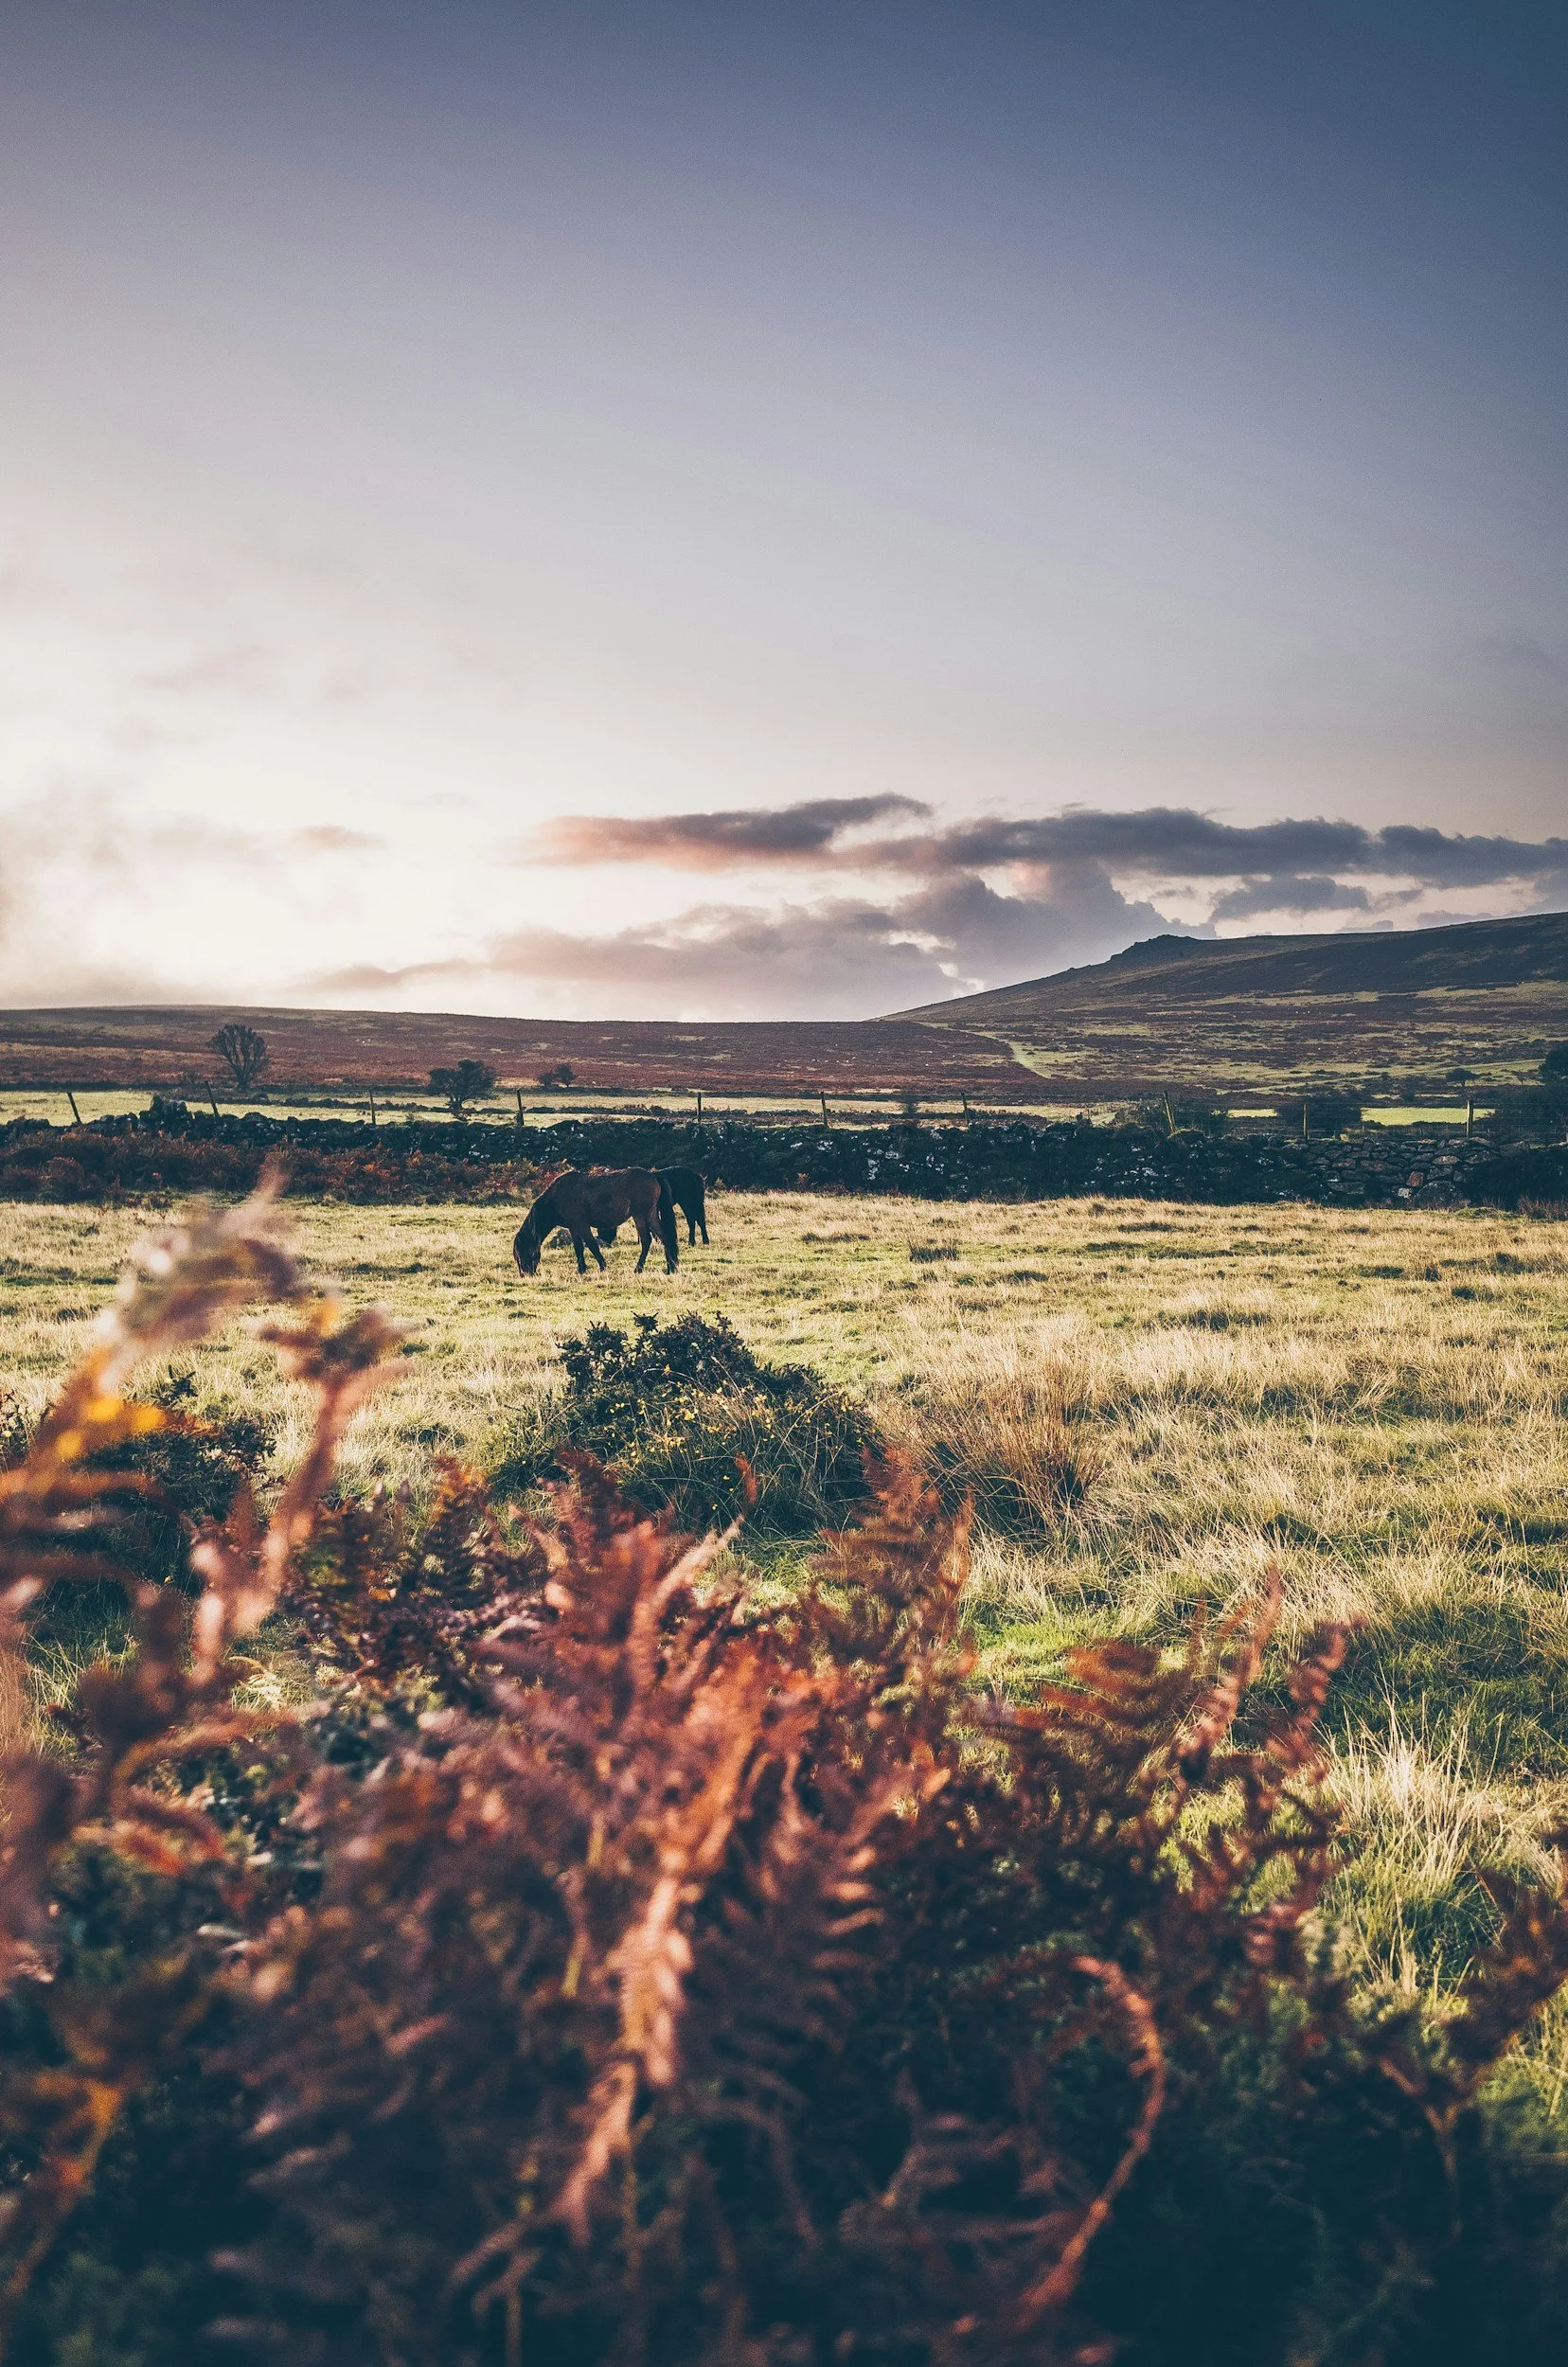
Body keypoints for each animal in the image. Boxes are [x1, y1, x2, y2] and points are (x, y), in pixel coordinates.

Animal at [513, 1168, 678, 1277]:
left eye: (522, 1252)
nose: (525, 1274)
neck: (558, 1196)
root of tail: (654, 1176)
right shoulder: (573, 1228)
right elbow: (578, 1248)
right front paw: (581, 1270)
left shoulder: (582, 1225)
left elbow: (592, 1245)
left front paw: (603, 1267)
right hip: (651, 1216)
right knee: (666, 1238)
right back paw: (671, 1268)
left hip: (640, 1216)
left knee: (646, 1240)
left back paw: (638, 1268)